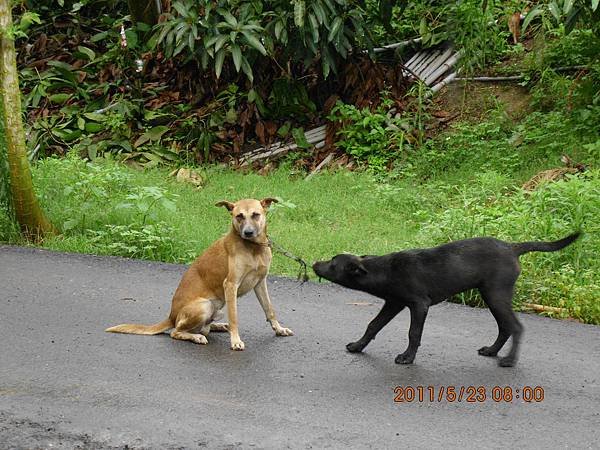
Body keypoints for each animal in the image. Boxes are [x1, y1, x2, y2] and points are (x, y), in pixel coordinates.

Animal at [109, 199, 296, 350]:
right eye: (239, 216)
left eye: (256, 215)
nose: (248, 233)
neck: (254, 248)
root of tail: (171, 316)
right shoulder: (230, 285)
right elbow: (235, 317)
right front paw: (235, 341)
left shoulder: (260, 282)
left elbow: (269, 309)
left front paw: (279, 329)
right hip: (204, 306)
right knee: (177, 331)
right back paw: (197, 337)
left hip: (217, 309)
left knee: (205, 327)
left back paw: (219, 326)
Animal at [312, 234, 580, 368]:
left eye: (333, 264)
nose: (314, 263)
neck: (385, 270)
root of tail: (512, 248)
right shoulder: (393, 303)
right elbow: (373, 325)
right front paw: (358, 346)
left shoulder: (419, 305)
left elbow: (413, 333)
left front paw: (407, 358)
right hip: (491, 295)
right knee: (505, 327)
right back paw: (492, 351)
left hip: (496, 294)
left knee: (515, 327)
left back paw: (509, 360)